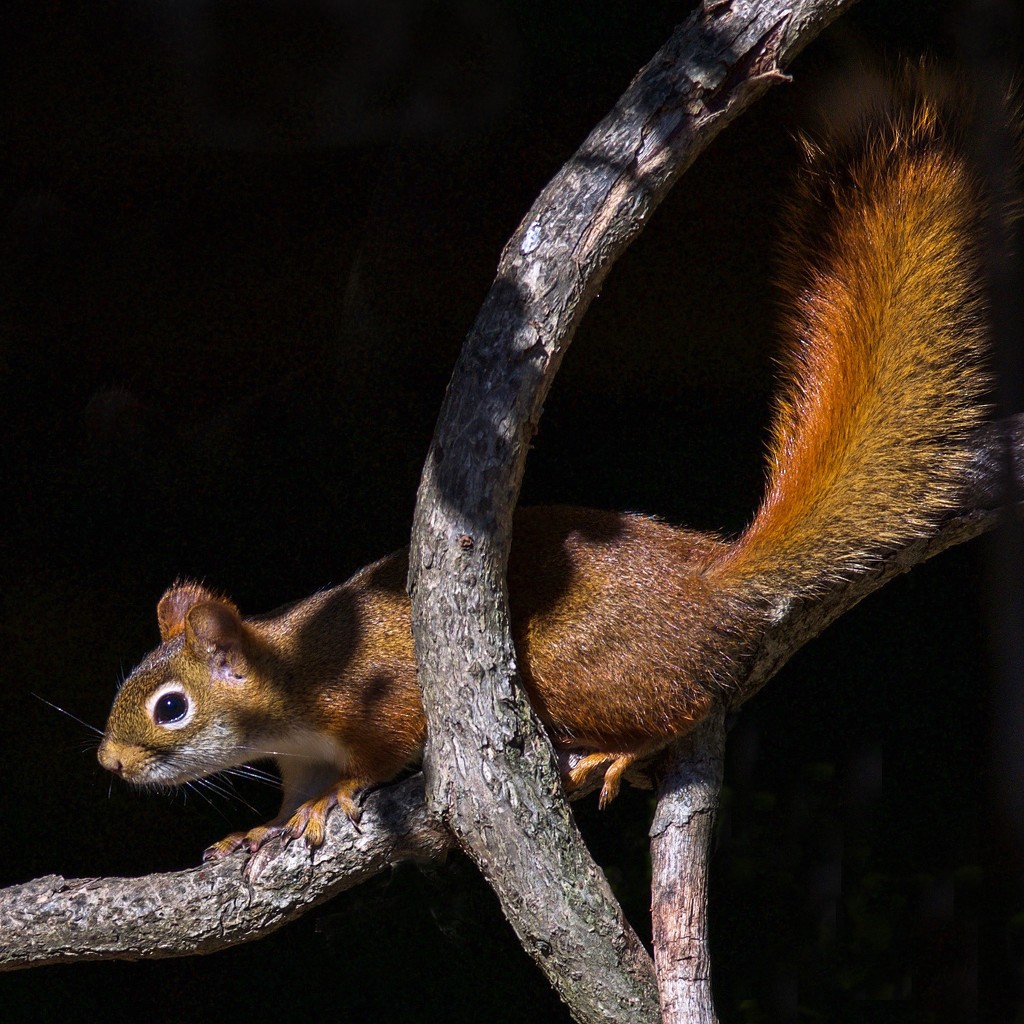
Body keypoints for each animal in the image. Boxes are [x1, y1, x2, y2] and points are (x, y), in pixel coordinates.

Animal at [97, 68, 1007, 860]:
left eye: (171, 708)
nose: (110, 762)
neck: (292, 681)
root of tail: (713, 587)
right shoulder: (299, 751)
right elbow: (292, 793)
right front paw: (265, 827)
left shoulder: (376, 700)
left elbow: (376, 755)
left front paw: (337, 799)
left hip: (579, 667)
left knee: (685, 707)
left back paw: (620, 751)